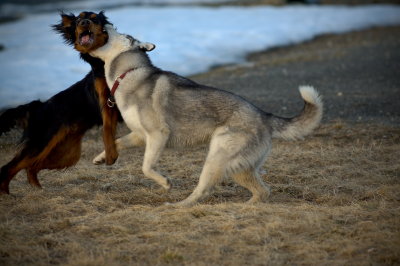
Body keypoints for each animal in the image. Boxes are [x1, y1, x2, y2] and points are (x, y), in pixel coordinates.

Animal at [90, 25, 322, 207]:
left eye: (122, 33)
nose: (108, 23)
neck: (129, 73)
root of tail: (264, 116)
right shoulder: (140, 136)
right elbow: (116, 142)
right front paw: (101, 157)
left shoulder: (158, 135)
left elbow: (146, 167)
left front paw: (165, 182)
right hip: (238, 167)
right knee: (263, 191)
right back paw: (246, 206)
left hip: (216, 158)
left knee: (204, 190)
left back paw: (179, 205)